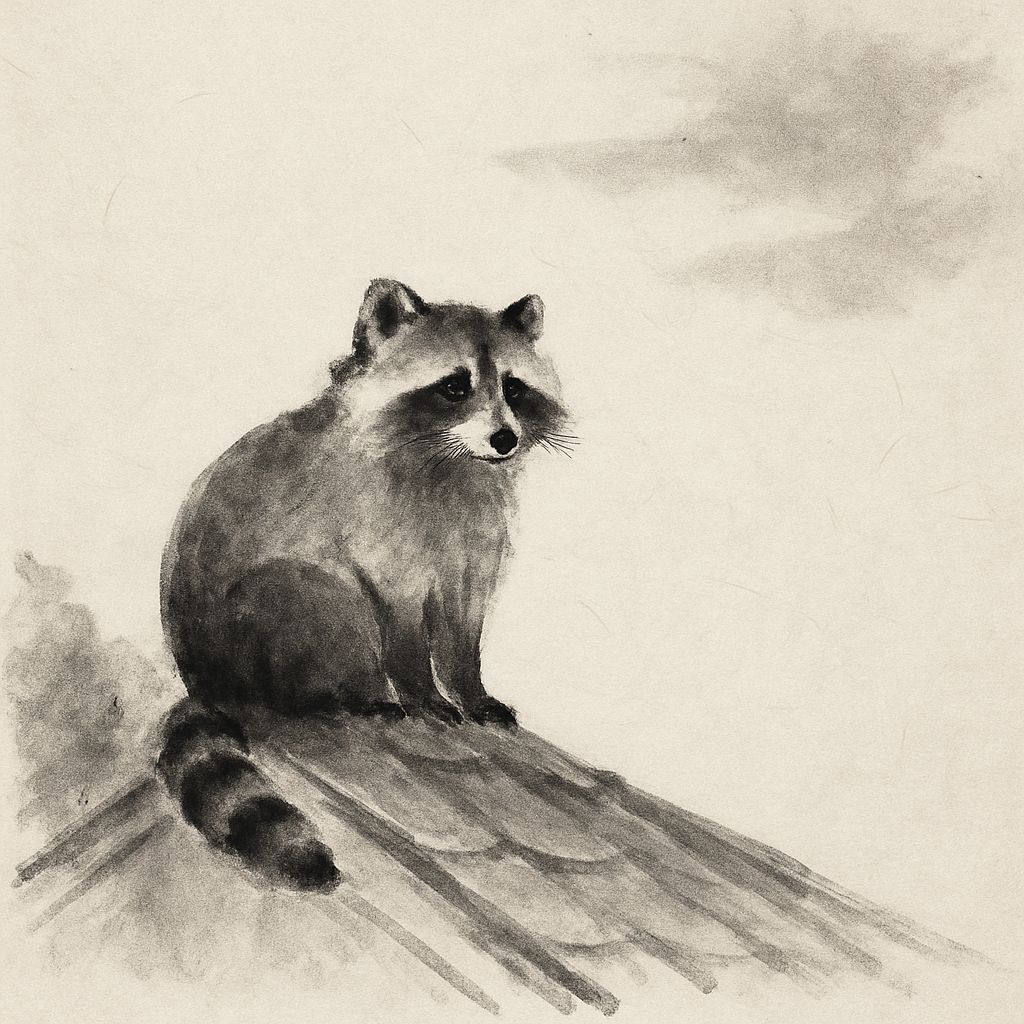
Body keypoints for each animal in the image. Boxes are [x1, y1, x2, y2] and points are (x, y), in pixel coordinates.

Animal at [157, 279, 573, 891]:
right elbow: (400, 623)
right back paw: (341, 697)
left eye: (514, 388)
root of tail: (205, 681)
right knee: (326, 599)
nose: (505, 439)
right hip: (279, 609)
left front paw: (470, 691)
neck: (453, 461)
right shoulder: (379, 532)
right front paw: (425, 695)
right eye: (455, 386)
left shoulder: (473, 546)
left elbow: (462, 625)